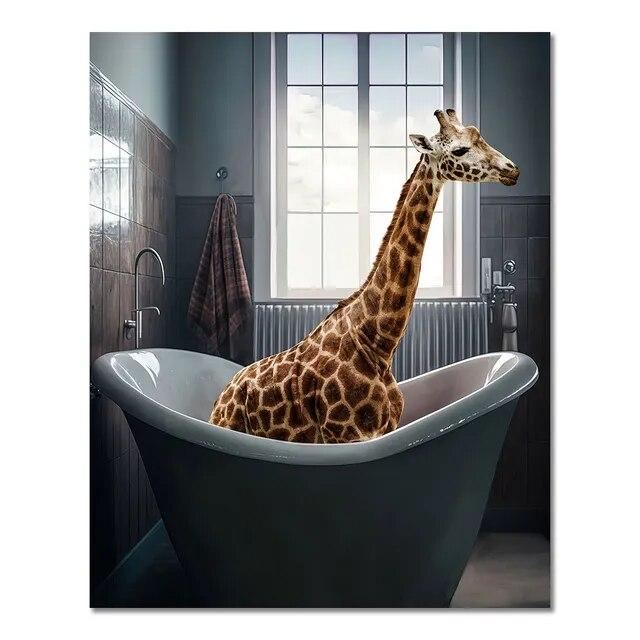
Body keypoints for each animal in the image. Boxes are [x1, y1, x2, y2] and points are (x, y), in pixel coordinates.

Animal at [210, 109, 519, 443]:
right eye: (460, 150)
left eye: (480, 136)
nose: (512, 170)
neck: (377, 342)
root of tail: (221, 396)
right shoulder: (345, 435)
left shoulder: (383, 430)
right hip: (230, 426)